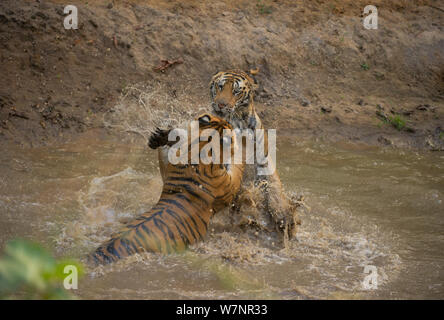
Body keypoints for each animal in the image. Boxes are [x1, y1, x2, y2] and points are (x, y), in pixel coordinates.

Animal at [88, 113, 245, 264]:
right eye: (228, 125)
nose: (232, 122)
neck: (198, 148)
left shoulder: (168, 171)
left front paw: (162, 136)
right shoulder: (229, 186)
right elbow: (238, 163)